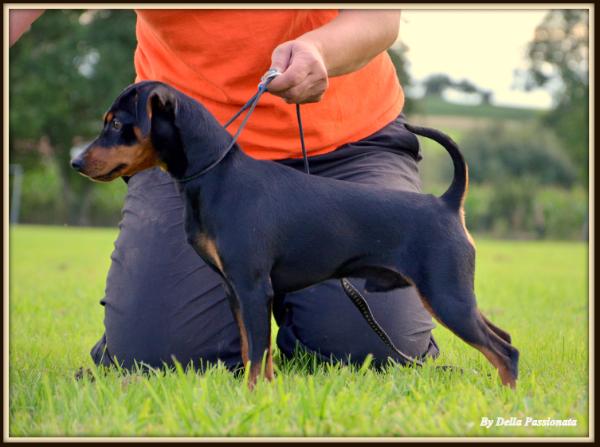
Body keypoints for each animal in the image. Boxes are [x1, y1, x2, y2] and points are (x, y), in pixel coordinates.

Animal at [72, 82, 516, 390]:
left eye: (117, 124)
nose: (76, 161)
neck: (218, 176)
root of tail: (447, 203)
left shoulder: (253, 289)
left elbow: (257, 352)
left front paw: (252, 396)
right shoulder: (237, 291)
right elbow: (254, 350)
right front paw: (263, 393)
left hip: (445, 296)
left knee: (504, 350)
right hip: (452, 297)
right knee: (504, 338)